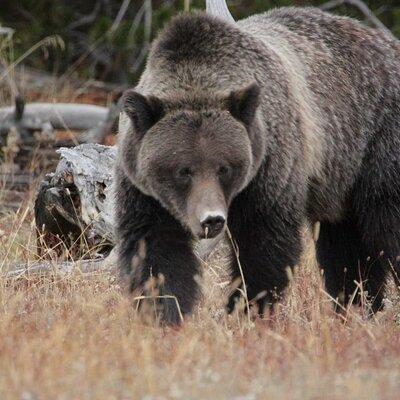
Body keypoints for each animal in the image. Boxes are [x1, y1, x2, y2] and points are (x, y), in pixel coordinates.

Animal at [114, 7, 400, 324]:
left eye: (224, 167)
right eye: (183, 170)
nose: (212, 219)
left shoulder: (270, 168)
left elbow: (261, 247)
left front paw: (246, 311)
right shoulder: (144, 190)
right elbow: (156, 250)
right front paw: (164, 312)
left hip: (376, 140)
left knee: (386, 224)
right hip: (341, 181)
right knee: (347, 248)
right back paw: (356, 307)